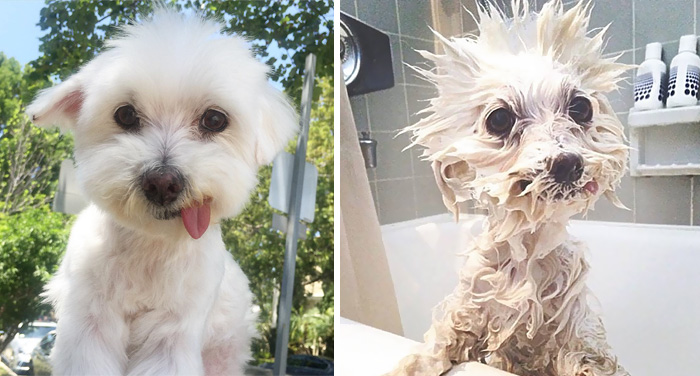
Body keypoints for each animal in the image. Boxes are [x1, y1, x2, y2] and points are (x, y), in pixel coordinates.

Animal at [26, 8, 296, 376]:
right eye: (125, 114)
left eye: (214, 119)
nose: (163, 182)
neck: (151, 244)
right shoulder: (89, 323)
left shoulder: (174, 333)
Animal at [394, 0, 628, 376]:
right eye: (500, 119)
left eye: (581, 107)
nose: (567, 163)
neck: (528, 253)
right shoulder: (471, 307)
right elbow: (439, 345)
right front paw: (414, 363)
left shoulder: (573, 331)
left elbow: (588, 358)